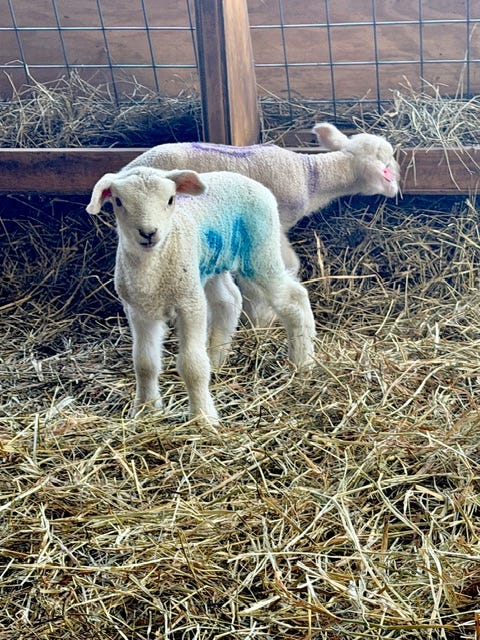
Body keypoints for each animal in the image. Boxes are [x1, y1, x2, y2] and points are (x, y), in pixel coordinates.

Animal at [86, 166, 316, 424]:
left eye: (170, 199)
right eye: (118, 201)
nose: (148, 233)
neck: (153, 269)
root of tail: (246, 179)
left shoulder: (190, 304)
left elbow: (192, 366)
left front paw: (203, 418)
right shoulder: (139, 311)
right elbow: (144, 363)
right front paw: (146, 410)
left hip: (260, 251)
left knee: (294, 298)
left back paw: (302, 361)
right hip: (211, 264)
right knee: (229, 301)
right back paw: (216, 360)